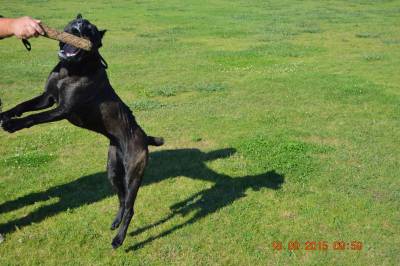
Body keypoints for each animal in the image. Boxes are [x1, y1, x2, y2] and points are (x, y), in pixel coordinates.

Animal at [0, 14, 164, 248]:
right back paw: (115, 222)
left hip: (133, 173)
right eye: (75, 22)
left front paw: (13, 125)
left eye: (90, 30)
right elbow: (23, 105)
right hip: (113, 171)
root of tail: (144, 137)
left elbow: (33, 118)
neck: (70, 69)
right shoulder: (47, 98)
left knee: (130, 207)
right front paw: (5, 114)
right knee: (122, 199)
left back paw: (118, 239)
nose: (79, 26)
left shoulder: (62, 109)